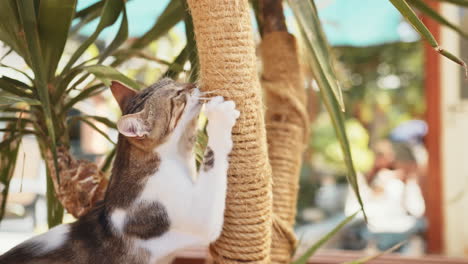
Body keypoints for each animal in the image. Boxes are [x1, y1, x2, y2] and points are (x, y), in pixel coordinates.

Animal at [0, 78, 239, 264]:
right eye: (178, 94)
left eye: (175, 81)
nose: (194, 84)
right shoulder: (200, 220)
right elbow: (212, 158)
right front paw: (219, 115)